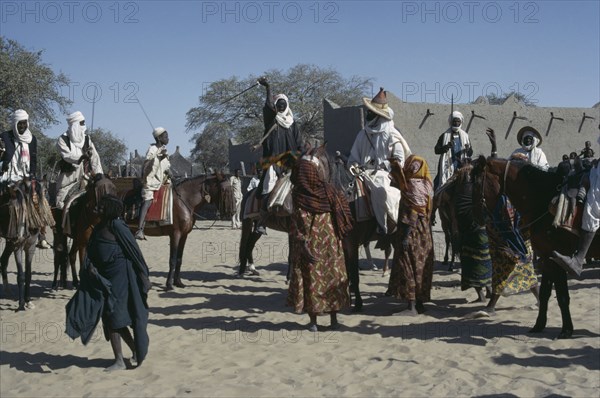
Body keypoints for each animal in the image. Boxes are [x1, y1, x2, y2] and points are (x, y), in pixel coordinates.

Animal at [472, 156, 596, 338]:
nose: (476, 217)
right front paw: (539, 325)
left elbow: (562, 296)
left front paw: (566, 330)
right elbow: (545, 294)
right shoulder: (546, 257)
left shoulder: (557, 258)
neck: (541, 198)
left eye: (477, 183)